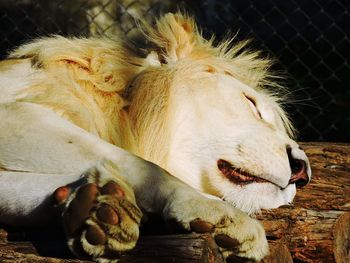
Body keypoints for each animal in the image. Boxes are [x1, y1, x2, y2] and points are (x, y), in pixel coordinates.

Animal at [0, 13, 312, 262]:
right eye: (251, 103)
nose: (302, 171)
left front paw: (90, 206)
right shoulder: (12, 115)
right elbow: (136, 162)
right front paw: (213, 211)